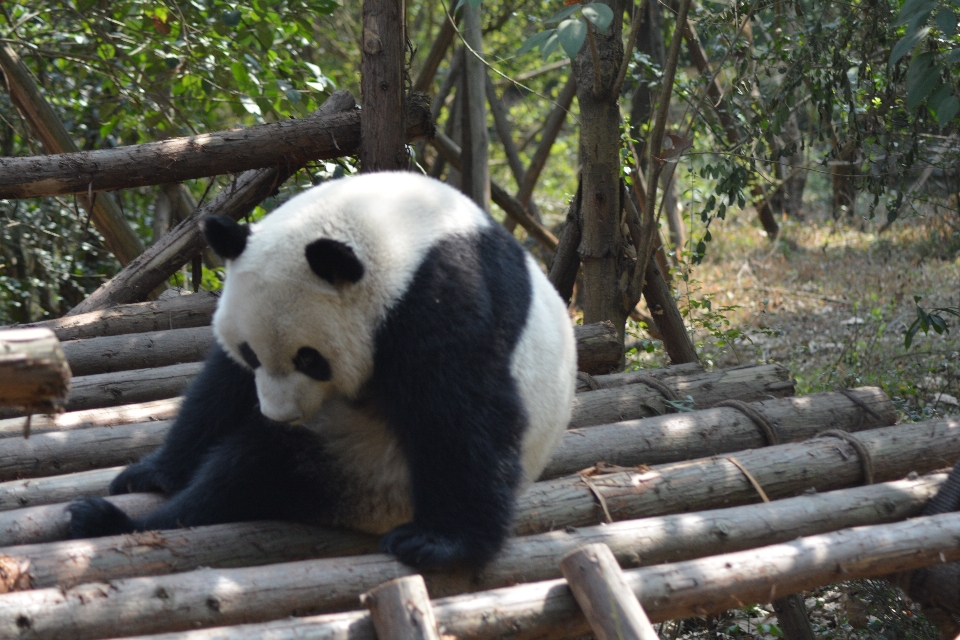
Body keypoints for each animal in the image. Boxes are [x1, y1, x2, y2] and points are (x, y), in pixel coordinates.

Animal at [71, 171, 576, 568]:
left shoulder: (442, 294)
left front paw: (442, 543)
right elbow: (220, 386)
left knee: (247, 472)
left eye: (310, 359)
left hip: (368, 471)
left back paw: (110, 521)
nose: (280, 414)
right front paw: (154, 471)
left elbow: (461, 411)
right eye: (251, 353)